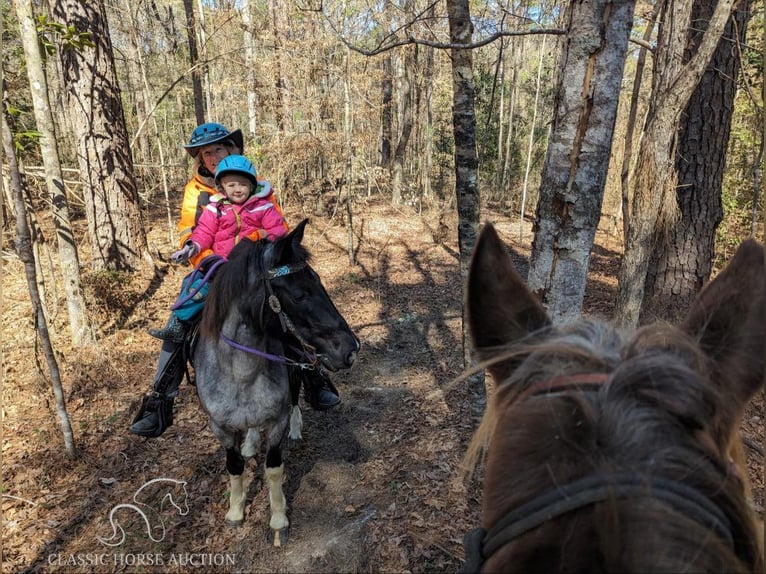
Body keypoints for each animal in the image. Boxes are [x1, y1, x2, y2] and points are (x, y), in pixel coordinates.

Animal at [192, 222, 360, 548]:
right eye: (300, 293)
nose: (350, 349)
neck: (241, 375)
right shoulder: (220, 427)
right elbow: (234, 466)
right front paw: (235, 512)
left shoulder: (276, 422)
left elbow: (273, 468)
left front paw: (279, 519)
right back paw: (249, 443)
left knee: (295, 397)